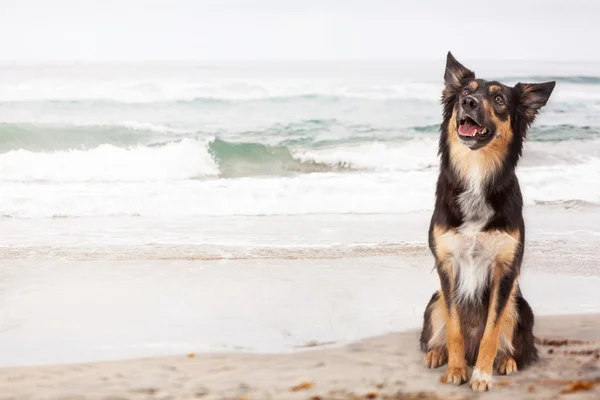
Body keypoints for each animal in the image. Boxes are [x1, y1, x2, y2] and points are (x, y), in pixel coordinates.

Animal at [420, 51, 556, 392]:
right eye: (465, 92)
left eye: (498, 98)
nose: (467, 102)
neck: (476, 173)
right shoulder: (447, 267)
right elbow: (454, 326)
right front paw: (456, 369)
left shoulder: (504, 270)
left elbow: (491, 332)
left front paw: (481, 375)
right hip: (433, 300)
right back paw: (437, 353)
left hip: (520, 306)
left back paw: (505, 361)